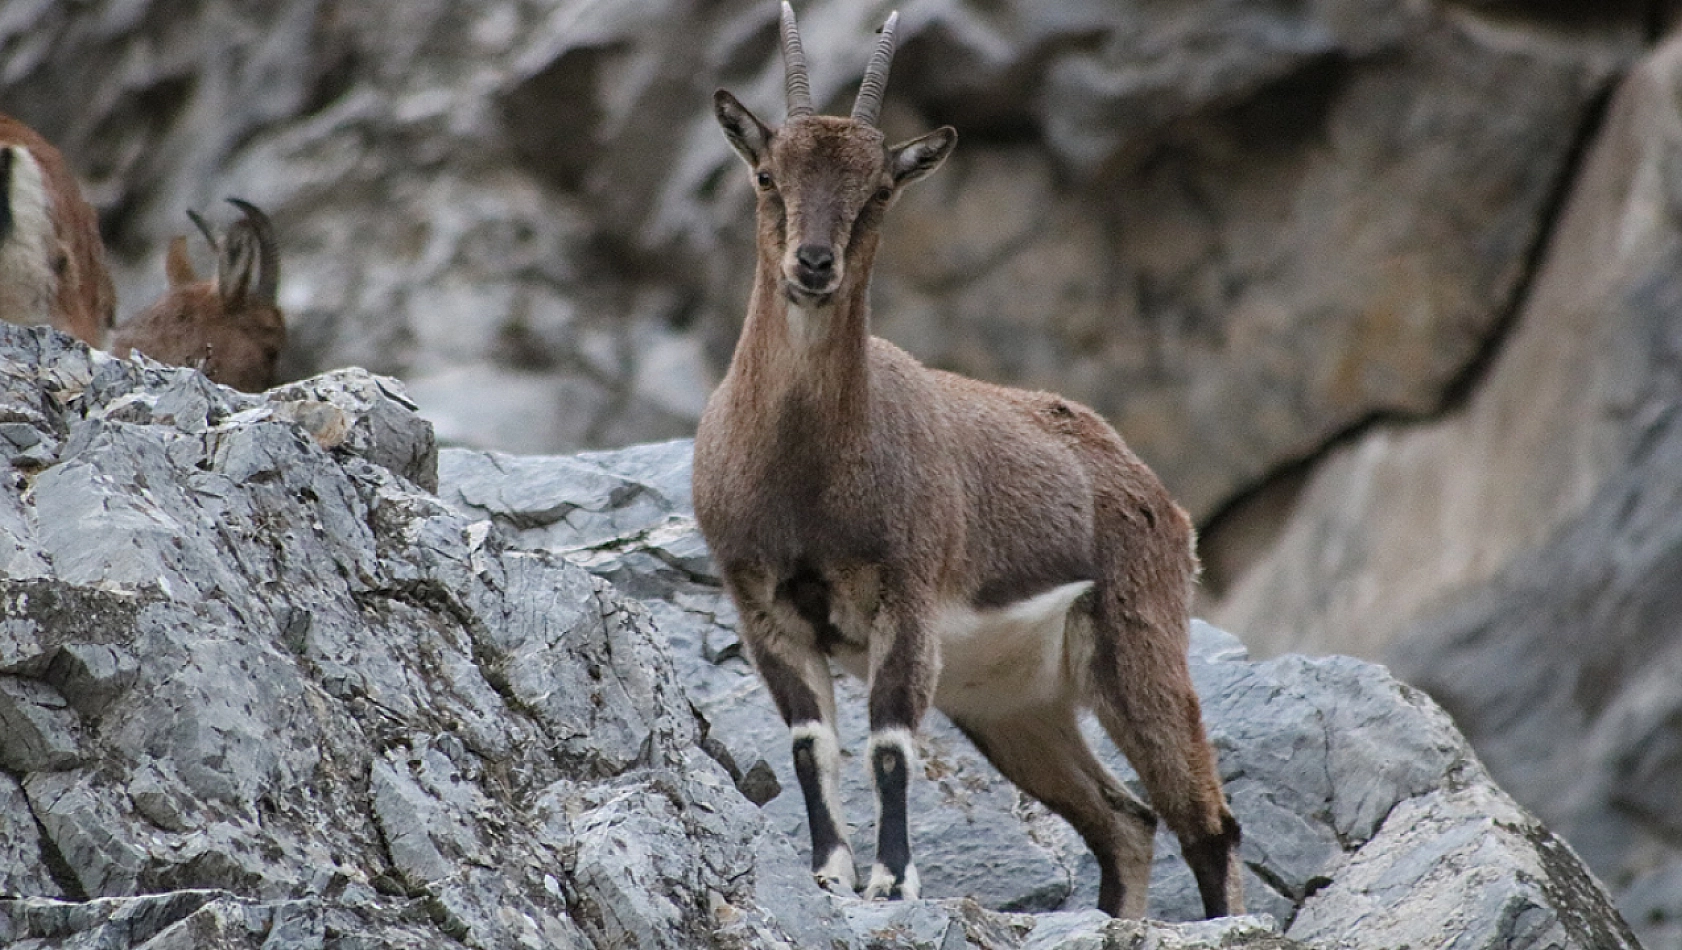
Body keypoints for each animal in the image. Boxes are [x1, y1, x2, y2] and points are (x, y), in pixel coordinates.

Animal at [689, 1, 1244, 921]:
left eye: (880, 189)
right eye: (767, 175)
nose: (814, 264)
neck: (805, 475)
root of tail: (1153, 493)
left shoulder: (907, 597)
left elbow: (888, 744)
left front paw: (891, 878)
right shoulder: (763, 605)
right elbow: (811, 744)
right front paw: (830, 872)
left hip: (1138, 642)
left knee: (1205, 821)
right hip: (1015, 706)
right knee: (1125, 822)